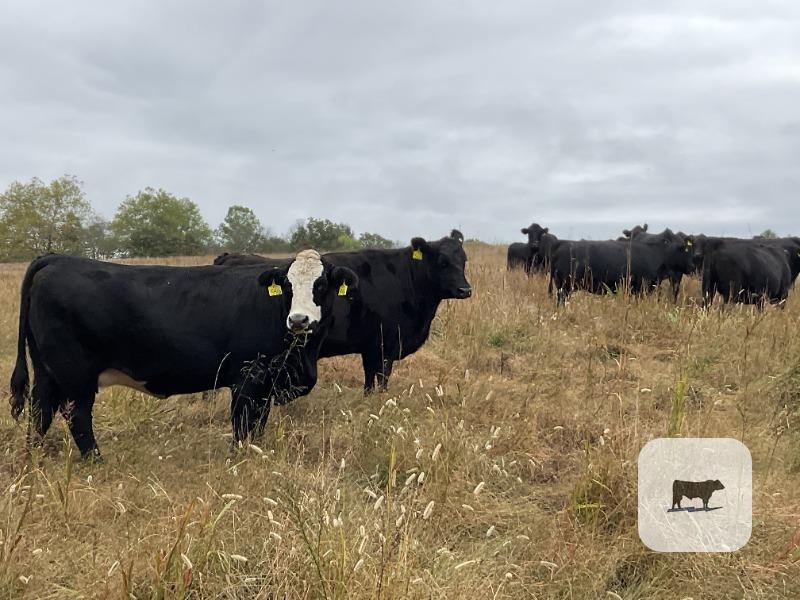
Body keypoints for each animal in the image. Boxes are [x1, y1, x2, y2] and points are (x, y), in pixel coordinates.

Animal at [9, 250, 359, 459]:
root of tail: (57, 258)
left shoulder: (266, 385)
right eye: (286, 285)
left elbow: (258, 424)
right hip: (75, 374)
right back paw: (95, 460)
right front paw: (239, 458)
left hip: (47, 371)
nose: (299, 320)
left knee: (40, 411)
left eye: (322, 284)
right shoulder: (247, 379)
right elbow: (242, 424)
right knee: (76, 415)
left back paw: (34, 457)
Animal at [213, 230, 472, 392]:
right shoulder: (384, 347)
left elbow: (369, 384)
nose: (465, 289)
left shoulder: (370, 349)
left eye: (464, 260)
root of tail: (228, 256)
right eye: (441, 261)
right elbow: (381, 382)